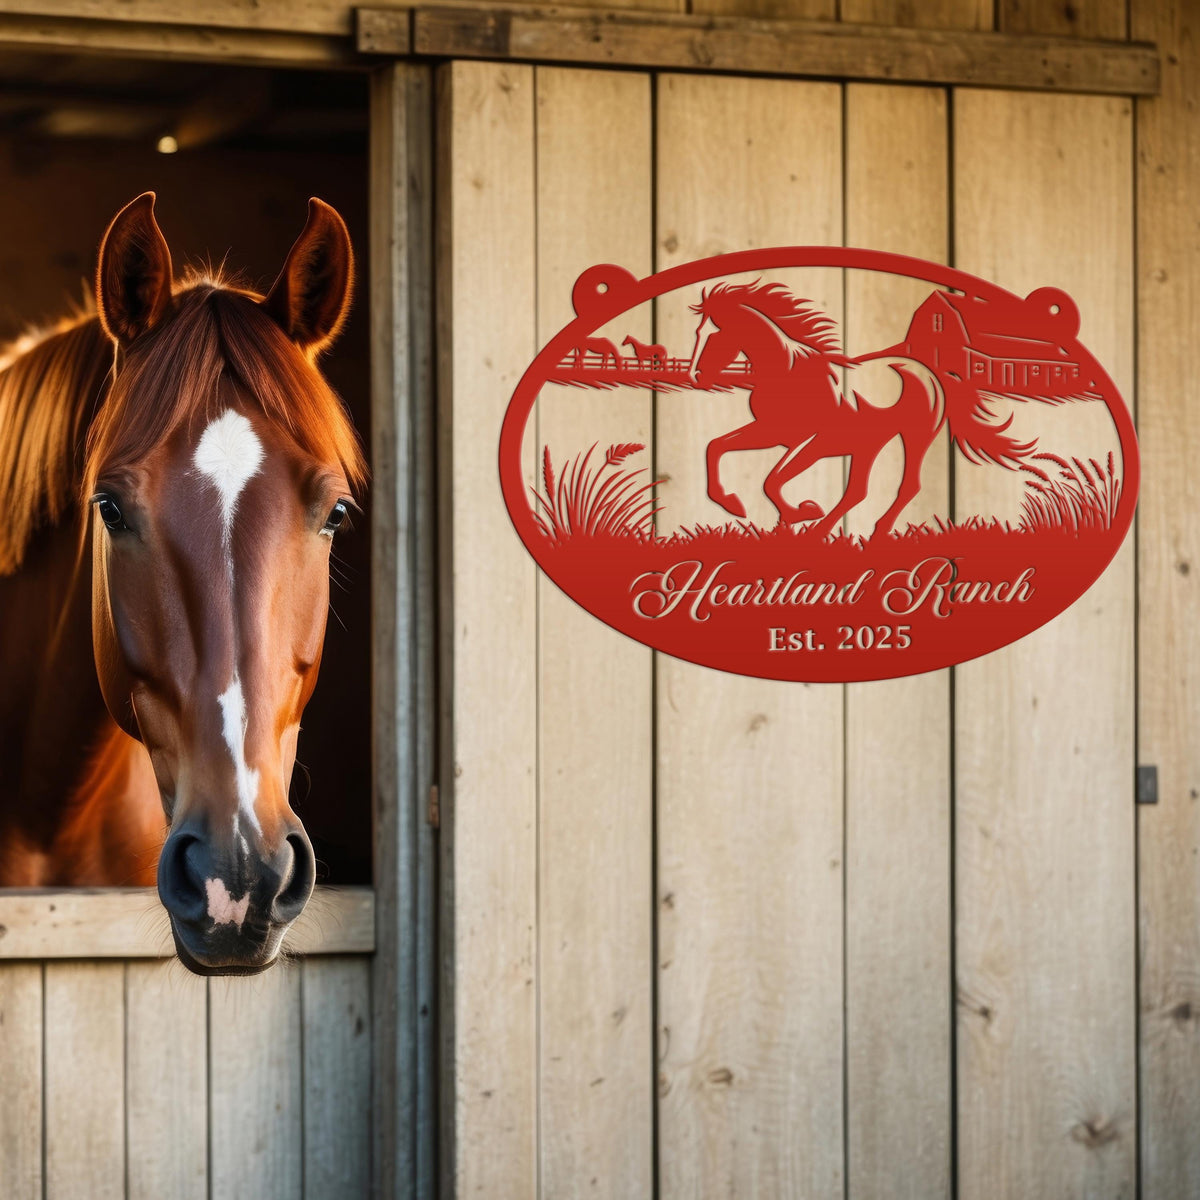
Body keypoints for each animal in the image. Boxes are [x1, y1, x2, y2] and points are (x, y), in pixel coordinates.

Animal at [688, 281, 1031, 539]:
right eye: (697, 332)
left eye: (714, 333)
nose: (697, 376)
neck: (788, 374)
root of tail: (930, 372)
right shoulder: (772, 433)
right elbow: (716, 447)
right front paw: (736, 505)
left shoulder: (813, 441)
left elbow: (772, 479)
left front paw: (801, 512)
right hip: (868, 443)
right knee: (858, 490)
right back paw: (823, 531)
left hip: (913, 437)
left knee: (906, 486)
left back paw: (865, 532)